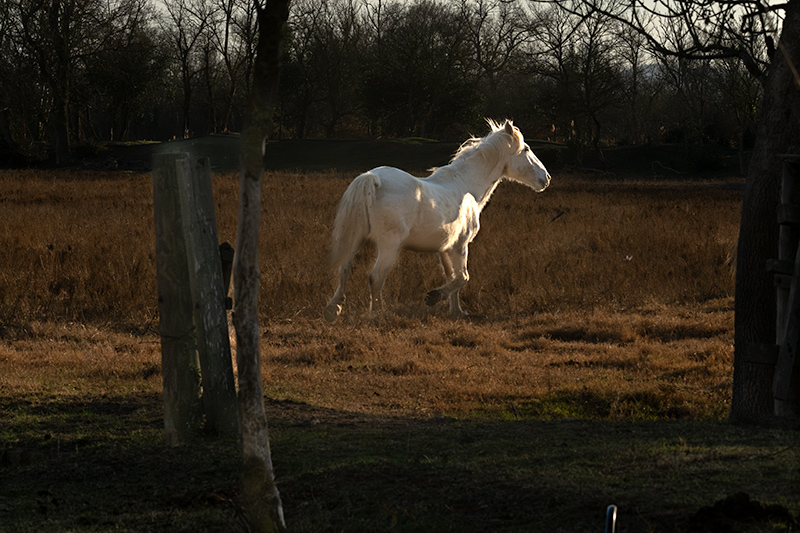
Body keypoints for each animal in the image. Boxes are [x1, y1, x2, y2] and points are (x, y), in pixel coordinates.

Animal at [324, 119, 552, 320]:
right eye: (526, 149)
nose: (546, 178)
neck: (466, 187)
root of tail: (372, 178)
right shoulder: (460, 245)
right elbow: (462, 278)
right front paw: (434, 297)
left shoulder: (444, 248)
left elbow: (453, 279)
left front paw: (456, 311)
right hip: (389, 245)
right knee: (375, 278)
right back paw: (378, 313)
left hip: (357, 238)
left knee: (343, 269)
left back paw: (334, 308)